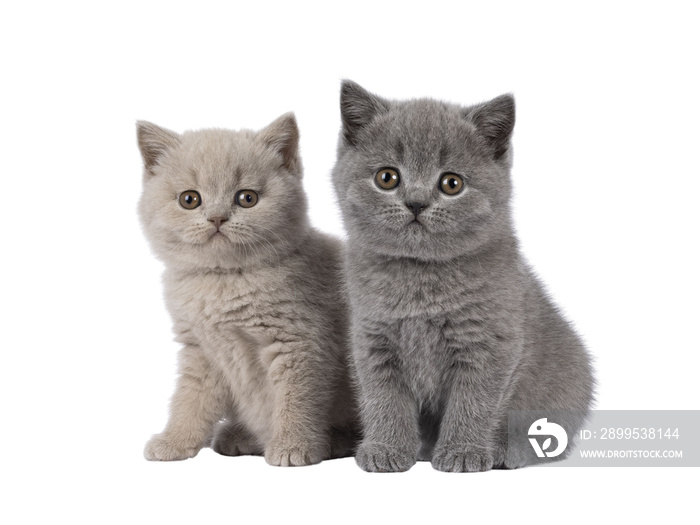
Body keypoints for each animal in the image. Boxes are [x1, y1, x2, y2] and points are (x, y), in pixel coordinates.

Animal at [137, 113, 356, 462]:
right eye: (189, 199)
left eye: (247, 198)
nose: (217, 218)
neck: (223, 281)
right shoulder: (202, 351)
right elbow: (190, 399)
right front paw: (174, 441)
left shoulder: (298, 341)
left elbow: (296, 398)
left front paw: (293, 445)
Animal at [330, 82, 592, 470]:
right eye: (387, 178)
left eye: (451, 183)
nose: (417, 202)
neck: (420, 279)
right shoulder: (373, 340)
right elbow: (383, 399)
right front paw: (387, 449)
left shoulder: (489, 343)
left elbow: (474, 401)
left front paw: (464, 452)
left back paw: (508, 450)